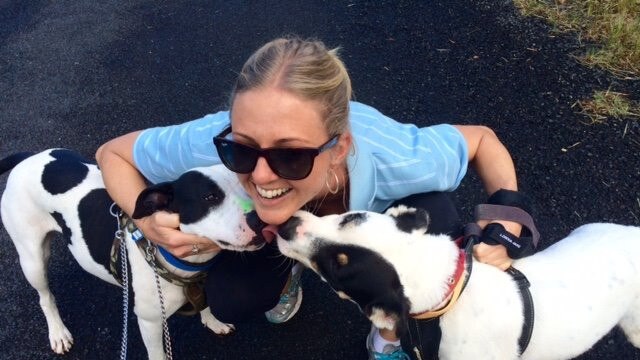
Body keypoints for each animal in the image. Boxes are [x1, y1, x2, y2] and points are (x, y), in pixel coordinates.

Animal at [0, 148, 264, 358]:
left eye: (251, 187)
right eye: (210, 197)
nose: (260, 221)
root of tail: (27, 158)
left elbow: (205, 303)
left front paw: (213, 321)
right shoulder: (150, 323)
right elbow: (158, 354)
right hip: (32, 258)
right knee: (45, 297)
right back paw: (58, 332)